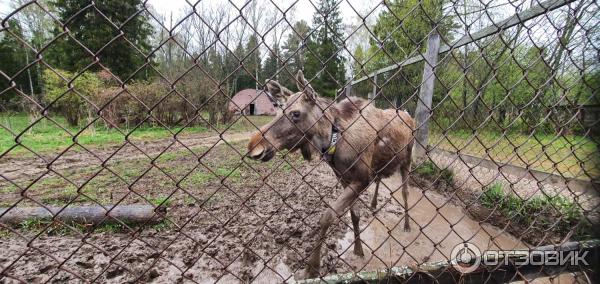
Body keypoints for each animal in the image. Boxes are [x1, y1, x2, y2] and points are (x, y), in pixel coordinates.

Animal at [245, 70, 412, 278]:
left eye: (296, 113)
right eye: (278, 110)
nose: (254, 146)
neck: (333, 139)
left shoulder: (363, 178)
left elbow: (327, 216)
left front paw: (313, 267)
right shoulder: (343, 177)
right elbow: (355, 215)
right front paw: (358, 249)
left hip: (407, 159)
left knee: (405, 192)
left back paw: (407, 225)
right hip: (382, 164)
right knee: (381, 178)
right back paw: (374, 204)